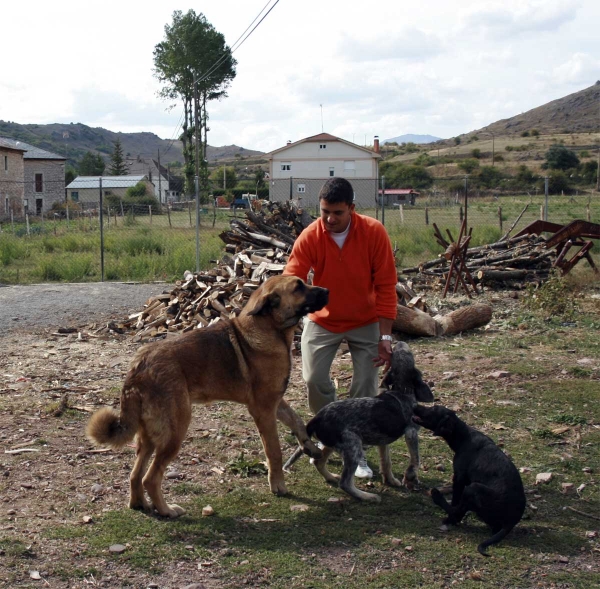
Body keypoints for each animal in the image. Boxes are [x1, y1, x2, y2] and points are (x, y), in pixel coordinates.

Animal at [86, 274, 326, 516]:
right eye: (298, 287)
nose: (327, 291)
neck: (269, 327)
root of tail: (138, 367)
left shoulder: (276, 401)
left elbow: (297, 421)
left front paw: (310, 447)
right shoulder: (264, 409)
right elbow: (274, 451)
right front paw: (278, 485)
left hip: (149, 436)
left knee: (135, 475)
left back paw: (140, 504)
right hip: (175, 431)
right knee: (150, 478)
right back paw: (167, 511)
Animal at [284, 340, 434, 500]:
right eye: (407, 353)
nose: (398, 342)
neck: (401, 389)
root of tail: (316, 418)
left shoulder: (382, 440)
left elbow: (386, 462)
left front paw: (390, 480)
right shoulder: (411, 432)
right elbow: (415, 459)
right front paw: (410, 476)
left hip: (331, 444)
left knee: (319, 462)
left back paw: (331, 477)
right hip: (353, 446)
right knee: (345, 483)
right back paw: (368, 496)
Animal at [412, 404, 524, 556]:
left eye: (434, 408)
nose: (414, 405)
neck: (463, 436)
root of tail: (511, 521)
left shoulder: (459, 478)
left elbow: (455, 502)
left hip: (473, 488)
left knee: (457, 514)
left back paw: (438, 497)